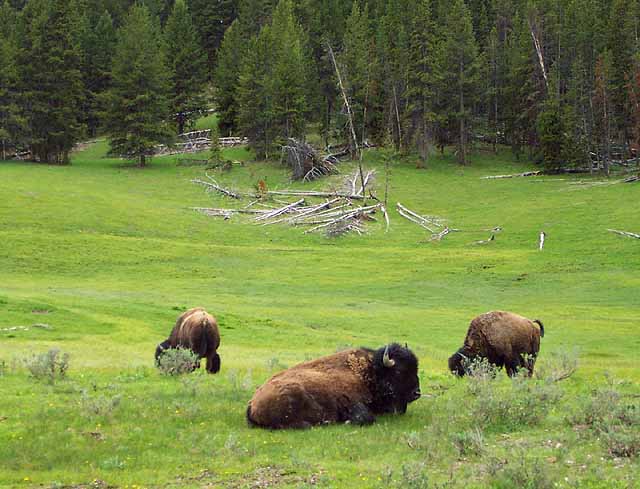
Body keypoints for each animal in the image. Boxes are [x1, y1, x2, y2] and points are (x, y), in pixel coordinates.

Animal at [245, 342, 420, 428]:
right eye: (399, 371)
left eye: (416, 368)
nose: (416, 393)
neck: (371, 372)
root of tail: (252, 403)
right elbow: (367, 418)